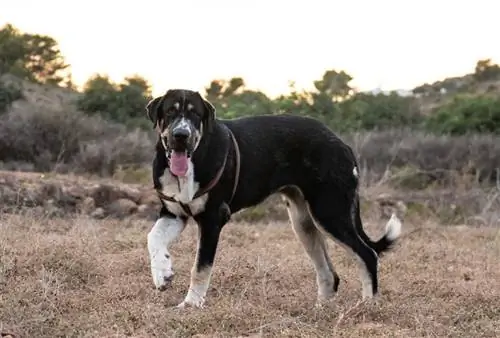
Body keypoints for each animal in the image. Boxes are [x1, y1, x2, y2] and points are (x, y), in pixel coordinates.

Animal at [146, 89, 402, 308]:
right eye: (170, 112)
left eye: (195, 114)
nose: (181, 135)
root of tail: (340, 142)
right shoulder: (174, 213)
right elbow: (153, 238)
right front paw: (162, 274)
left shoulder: (213, 219)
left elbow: (200, 268)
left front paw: (191, 304)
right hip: (303, 223)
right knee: (330, 273)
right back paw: (321, 310)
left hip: (330, 212)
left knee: (367, 255)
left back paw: (367, 305)